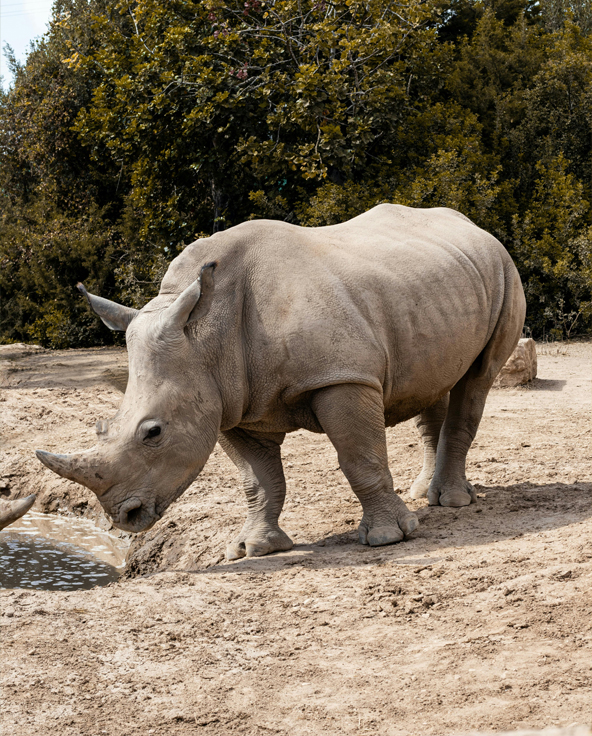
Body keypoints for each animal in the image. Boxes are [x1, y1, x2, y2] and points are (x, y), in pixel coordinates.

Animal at [36, 204, 525, 559]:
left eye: (153, 433)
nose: (124, 516)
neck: (205, 335)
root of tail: (475, 226)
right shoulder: (228, 401)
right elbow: (258, 480)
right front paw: (253, 548)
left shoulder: (341, 378)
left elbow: (360, 458)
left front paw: (388, 539)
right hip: (432, 288)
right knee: (434, 382)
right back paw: (424, 494)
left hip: (503, 270)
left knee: (477, 379)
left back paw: (452, 503)